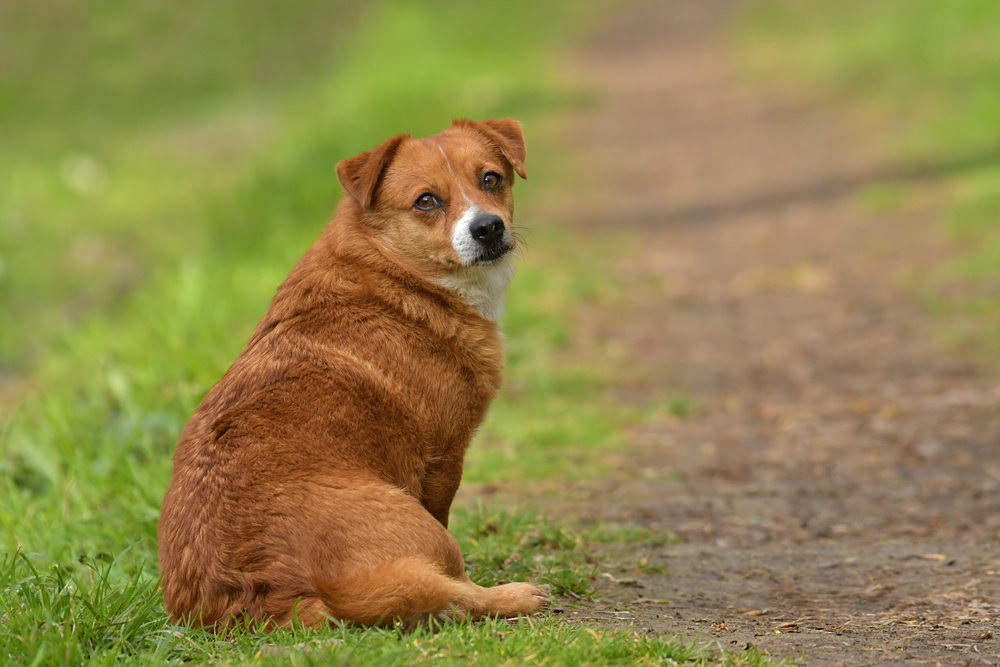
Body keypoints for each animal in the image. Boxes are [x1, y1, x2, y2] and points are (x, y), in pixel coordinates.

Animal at [157, 118, 552, 632]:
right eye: (426, 200)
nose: (488, 227)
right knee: (452, 593)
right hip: (417, 524)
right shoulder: (444, 457)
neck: (396, 272)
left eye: (491, 179)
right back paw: (515, 595)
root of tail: (267, 603)